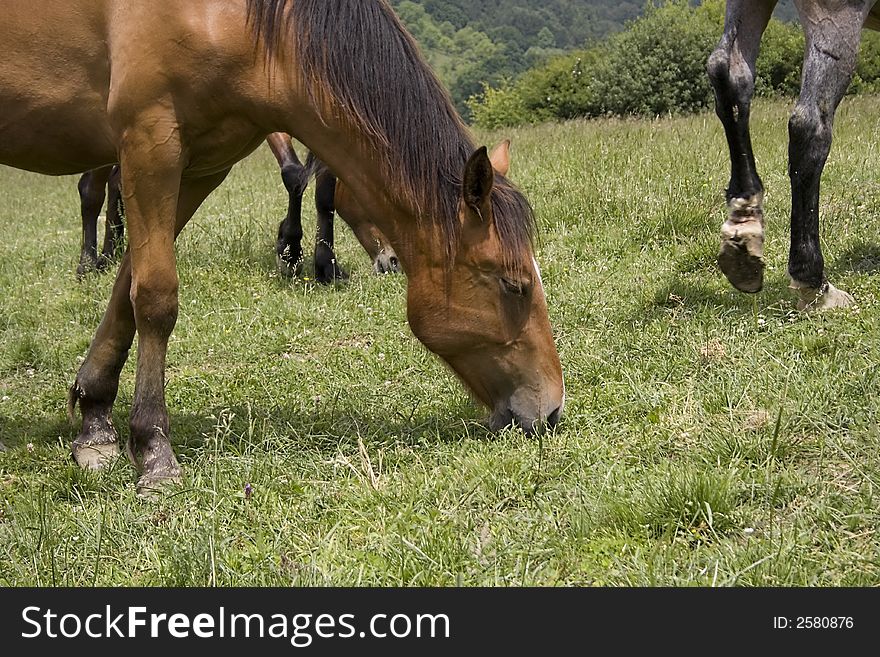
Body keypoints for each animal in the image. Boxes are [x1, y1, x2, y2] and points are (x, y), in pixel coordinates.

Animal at [75, 132, 398, 280]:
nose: (393, 261)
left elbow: (325, 194)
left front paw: (326, 265)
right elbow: (294, 174)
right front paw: (290, 249)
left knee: (117, 182)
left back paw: (112, 253)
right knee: (91, 189)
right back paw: (89, 263)